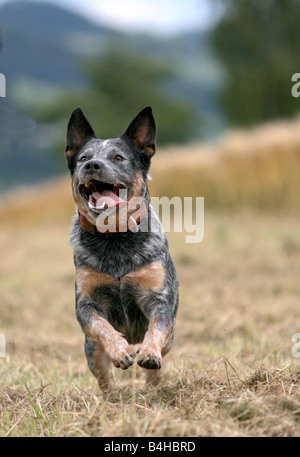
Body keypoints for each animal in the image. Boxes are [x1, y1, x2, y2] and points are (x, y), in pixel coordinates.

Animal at [64, 106, 178, 392]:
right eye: (83, 158)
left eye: (118, 157)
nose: (92, 165)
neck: (114, 237)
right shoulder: (86, 303)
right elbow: (102, 326)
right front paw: (120, 351)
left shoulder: (159, 298)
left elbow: (155, 329)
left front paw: (148, 353)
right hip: (91, 350)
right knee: (103, 377)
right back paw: (111, 397)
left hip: (171, 340)